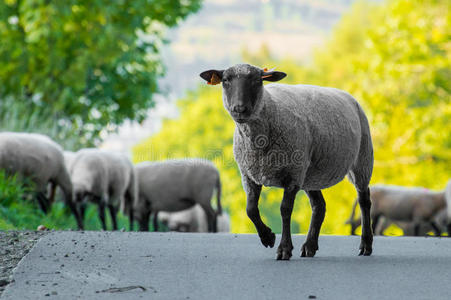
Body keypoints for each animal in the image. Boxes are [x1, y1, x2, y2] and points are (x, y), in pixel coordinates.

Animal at [200, 63, 374, 260]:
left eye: (257, 80)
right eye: (225, 80)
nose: (239, 109)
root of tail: (349, 96)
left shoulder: (292, 175)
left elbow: (285, 210)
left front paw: (283, 248)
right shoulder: (249, 176)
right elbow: (250, 210)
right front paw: (268, 237)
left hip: (362, 160)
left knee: (364, 201)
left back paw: (366, 245)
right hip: (309, 174)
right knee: (319, 206)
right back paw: (309, 247)